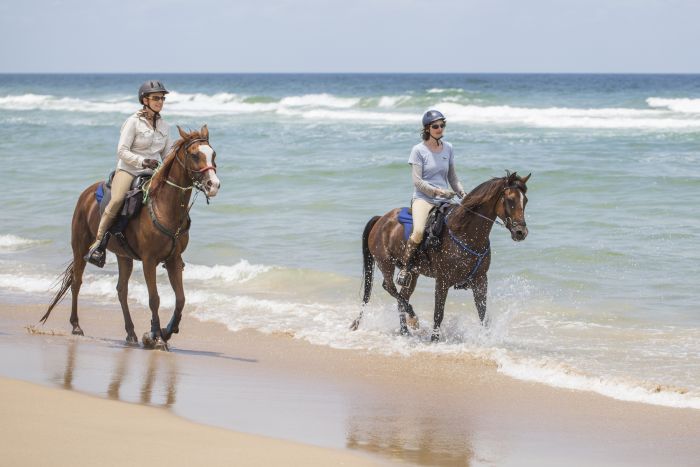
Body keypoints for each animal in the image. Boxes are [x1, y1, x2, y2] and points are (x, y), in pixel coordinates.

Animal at [39, 124, 220, 352]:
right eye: (195, 155)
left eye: (213, 154)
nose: (214, 185)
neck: (164, 207)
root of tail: (87, 193)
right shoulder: (149, 261)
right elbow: (154, 298)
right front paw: (156, 337)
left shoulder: (174, 259)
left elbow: (180, 299)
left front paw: (165, 332)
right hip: (80, 248)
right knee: (77, 283)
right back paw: (76, 326)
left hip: (124, 256)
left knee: (121, 290)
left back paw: (131, 333)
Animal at [350, 171, 532, 340]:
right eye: (510, 200)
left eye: (525, 200)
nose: (521, 232)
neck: (464, 232)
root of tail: (381, 219)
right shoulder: (442, 280)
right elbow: (438, 313)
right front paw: (434, 340)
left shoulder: (480, 280)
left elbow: (483, 314)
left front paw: (486, 339)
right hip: (385, 264)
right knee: (390, 288)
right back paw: (413, 320)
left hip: (413, 273)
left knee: (401, 297)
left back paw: (405, 331)